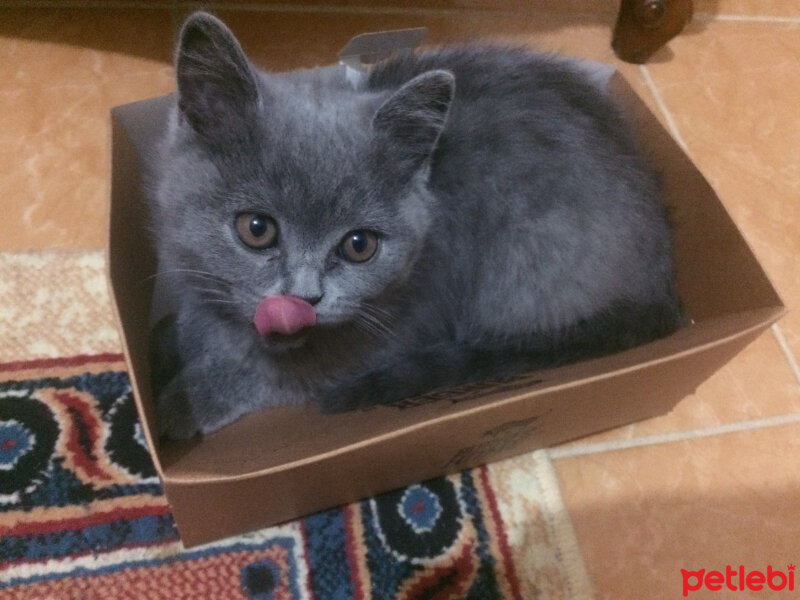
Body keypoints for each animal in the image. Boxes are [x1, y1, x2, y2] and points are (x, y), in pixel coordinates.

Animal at [148, 11, 680, 438]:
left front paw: (183, 403)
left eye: (359, 245)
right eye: (256, 229)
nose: (305, 298)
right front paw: (168, 344)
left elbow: (275, 372)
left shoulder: (402, 326)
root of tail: (663, 281)